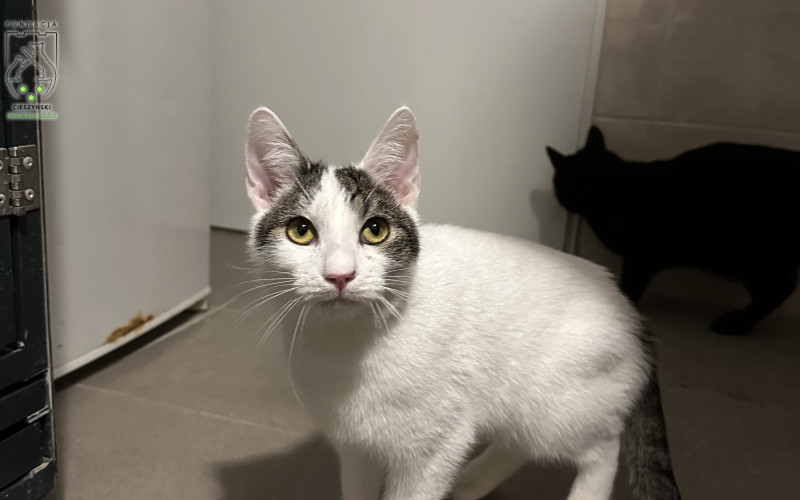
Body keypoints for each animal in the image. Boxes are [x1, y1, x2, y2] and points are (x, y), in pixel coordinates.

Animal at [244, 106, 681, 500]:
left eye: (376, 230)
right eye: (301, 231)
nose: (340, 274)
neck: (346, 346)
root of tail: (629, 310)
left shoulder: (436, 446)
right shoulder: (356, 447)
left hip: (562, 407)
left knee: (602, 450)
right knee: (518, 442)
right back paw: (471, 483)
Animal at [547, 127, 800, 335]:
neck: (610, 187)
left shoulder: (640, 258)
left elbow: (630, 288)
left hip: (745, 258)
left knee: (781, 288)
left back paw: (734, 324)